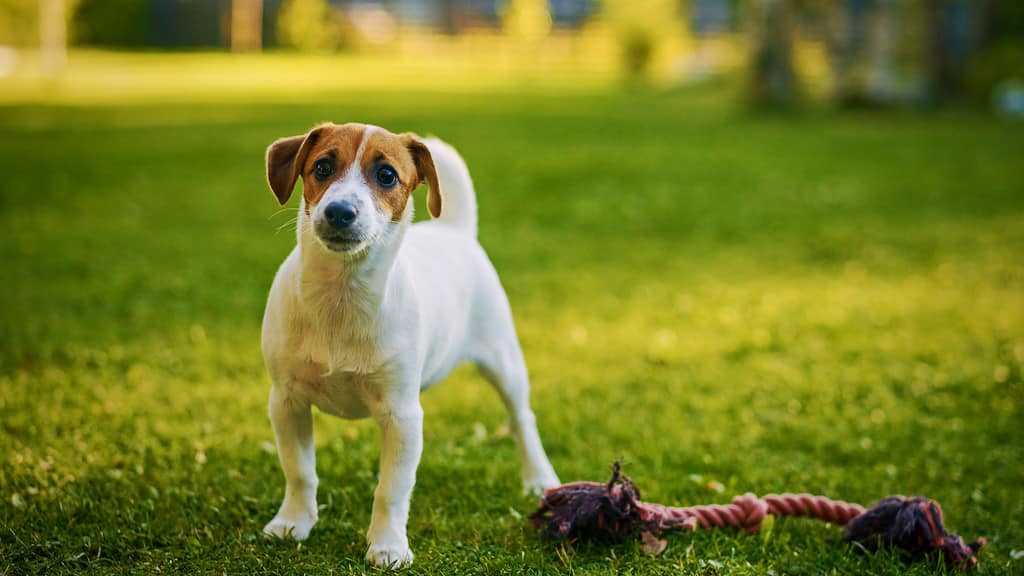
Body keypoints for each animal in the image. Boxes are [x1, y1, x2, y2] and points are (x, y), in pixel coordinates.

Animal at [256, 121, 561, 565]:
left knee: (523, 419)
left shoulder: (401, 414)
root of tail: (453, 230)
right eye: (322, 167)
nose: (339, 212)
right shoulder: (287, 401)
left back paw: (539, 478)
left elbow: (392, 489)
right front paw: (292, 523)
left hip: (503, 361)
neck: (340, 299)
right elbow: (299, 471)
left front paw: (388, 545)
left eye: (387, 175)